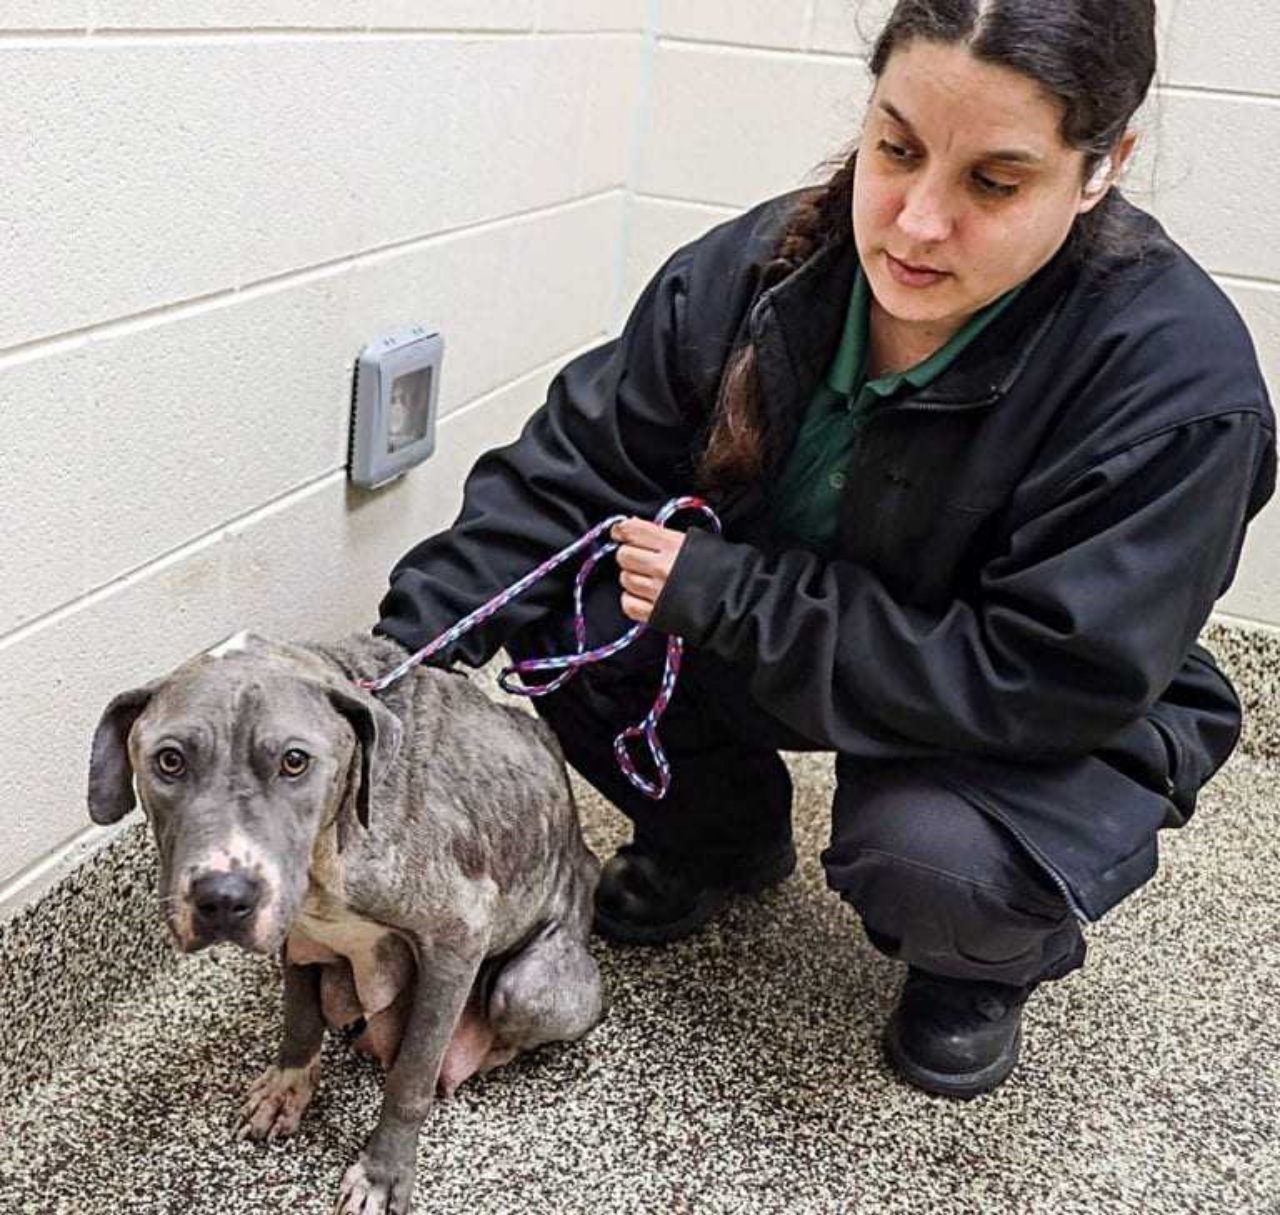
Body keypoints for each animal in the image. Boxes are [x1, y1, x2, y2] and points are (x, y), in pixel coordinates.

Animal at [86, 629, 604, 1213]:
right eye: (170, 760)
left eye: (295, 761)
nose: (223, 898)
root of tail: (583, 860)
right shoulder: (297, 937)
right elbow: (300, 1018)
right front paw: (287, 1089)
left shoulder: (457, 940)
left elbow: (410, 1078)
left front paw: (383, 1174)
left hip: (528, 990)